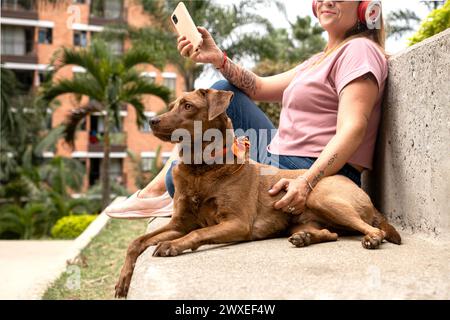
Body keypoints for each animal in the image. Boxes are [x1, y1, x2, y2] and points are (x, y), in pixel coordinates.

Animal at [115, 87, 400, 298]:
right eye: (173, 104)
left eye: (187, 106)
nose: (152, 121)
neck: (201, 169)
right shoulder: (179, 223)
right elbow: (136, 243)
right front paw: (123, 282)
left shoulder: (237, 223)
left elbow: (197, 233)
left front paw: (171, 246)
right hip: (299, 221)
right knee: (330, 234)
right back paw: (305, 238)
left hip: (322, 197)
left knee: (373, 229)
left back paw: (372, 238)